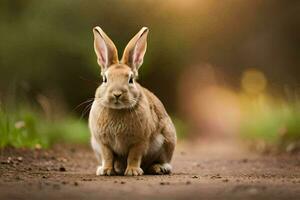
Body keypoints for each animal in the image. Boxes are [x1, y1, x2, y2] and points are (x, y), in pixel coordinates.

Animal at [88, 26, 177, 175]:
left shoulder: (139, 141)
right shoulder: (103, 143)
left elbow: (134, 155)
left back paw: (159, 168)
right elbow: (108, 156)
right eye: (105, 79)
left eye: (131, 79)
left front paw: (133, 171)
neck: (118, 110)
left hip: (167, 141)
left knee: (162, 161)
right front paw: (106, 171)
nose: (117, 94)